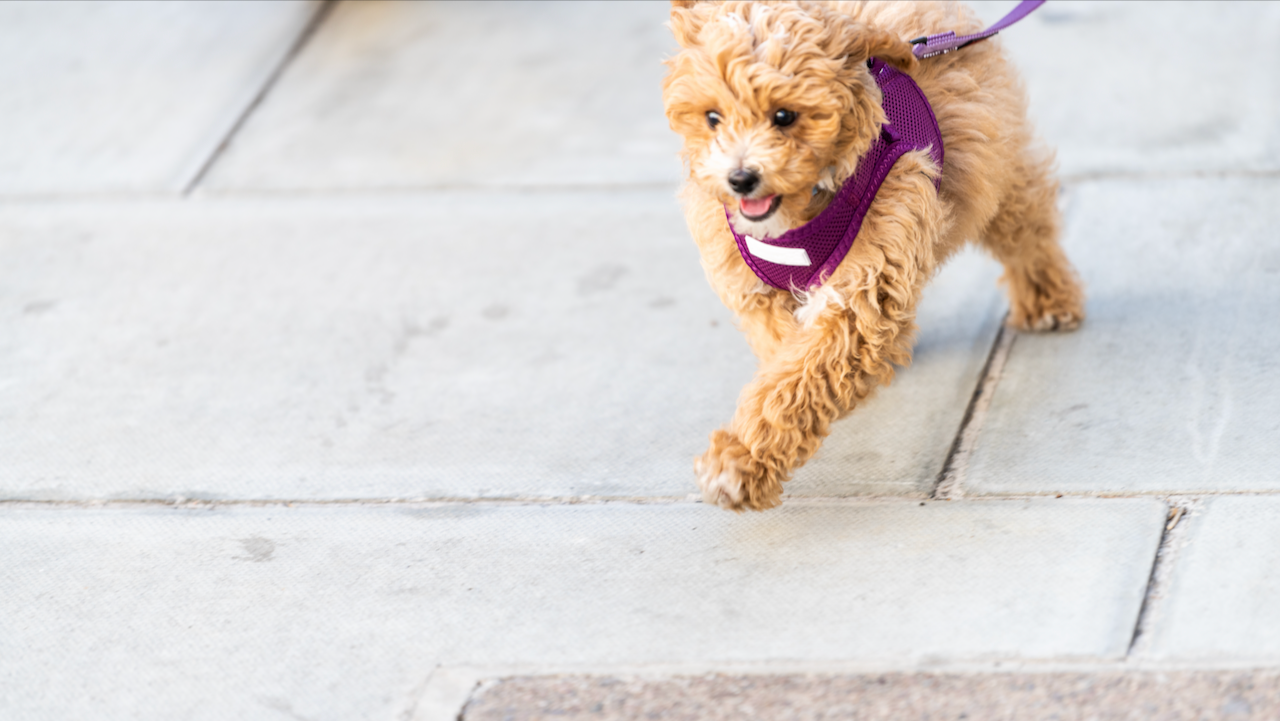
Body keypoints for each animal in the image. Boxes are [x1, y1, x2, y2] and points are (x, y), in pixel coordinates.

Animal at [665, 2, 1085, 517]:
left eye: (784, 116)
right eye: (712, 117)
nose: (741, 178)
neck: (799, 217)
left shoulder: (864, 286)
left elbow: (797, 378)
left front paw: (741, 463)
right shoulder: (756, 294)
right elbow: (787, 356)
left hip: (996, 170)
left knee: (1027, 229)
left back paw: (1047, 299)